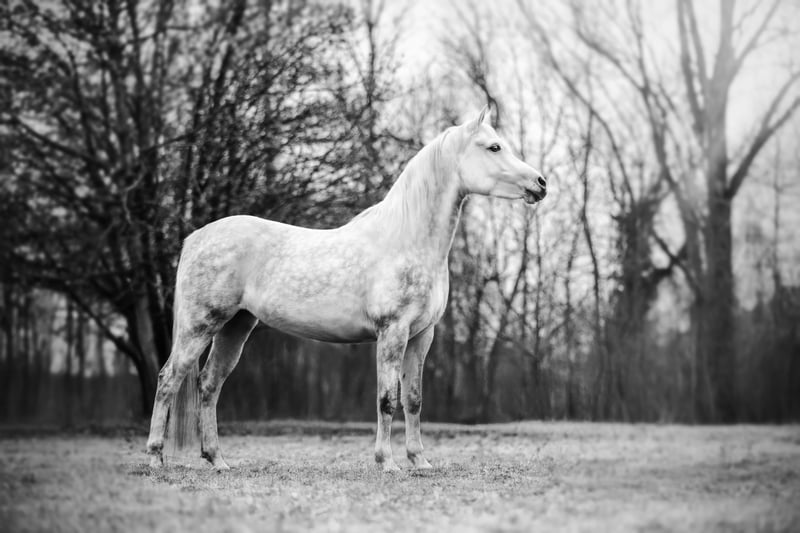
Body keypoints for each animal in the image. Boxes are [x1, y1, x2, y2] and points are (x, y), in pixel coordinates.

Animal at [146, 105, 547, 472]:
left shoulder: (422, 335)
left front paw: (420, 461)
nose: (540, 183)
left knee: (209, 385)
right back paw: (155, 457)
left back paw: (217, 460)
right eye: (493, 147)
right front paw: (387, 463)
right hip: (200, 325)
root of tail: (195, 238)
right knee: (169, 379)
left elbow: (414, 399)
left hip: (235, 326)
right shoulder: (392, 332)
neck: (406, 238)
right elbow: (387, 399)